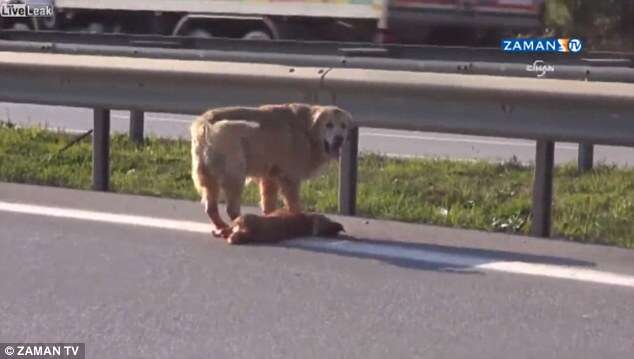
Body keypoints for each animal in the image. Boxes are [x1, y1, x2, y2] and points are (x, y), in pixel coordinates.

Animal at [190, 104, 354, 233]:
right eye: (329, 125)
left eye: (343, 126)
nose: (339, 139)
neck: (308, 131)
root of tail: (205, 122)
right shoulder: (290, 178)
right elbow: (294, 204)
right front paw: (298, 220)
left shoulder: (270, 177)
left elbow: (269, 203)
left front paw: (270, 219)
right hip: (235, 173)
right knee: (231, 208)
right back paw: (238, 224)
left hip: (208, 176)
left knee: (211, 207)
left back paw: (222, 226)